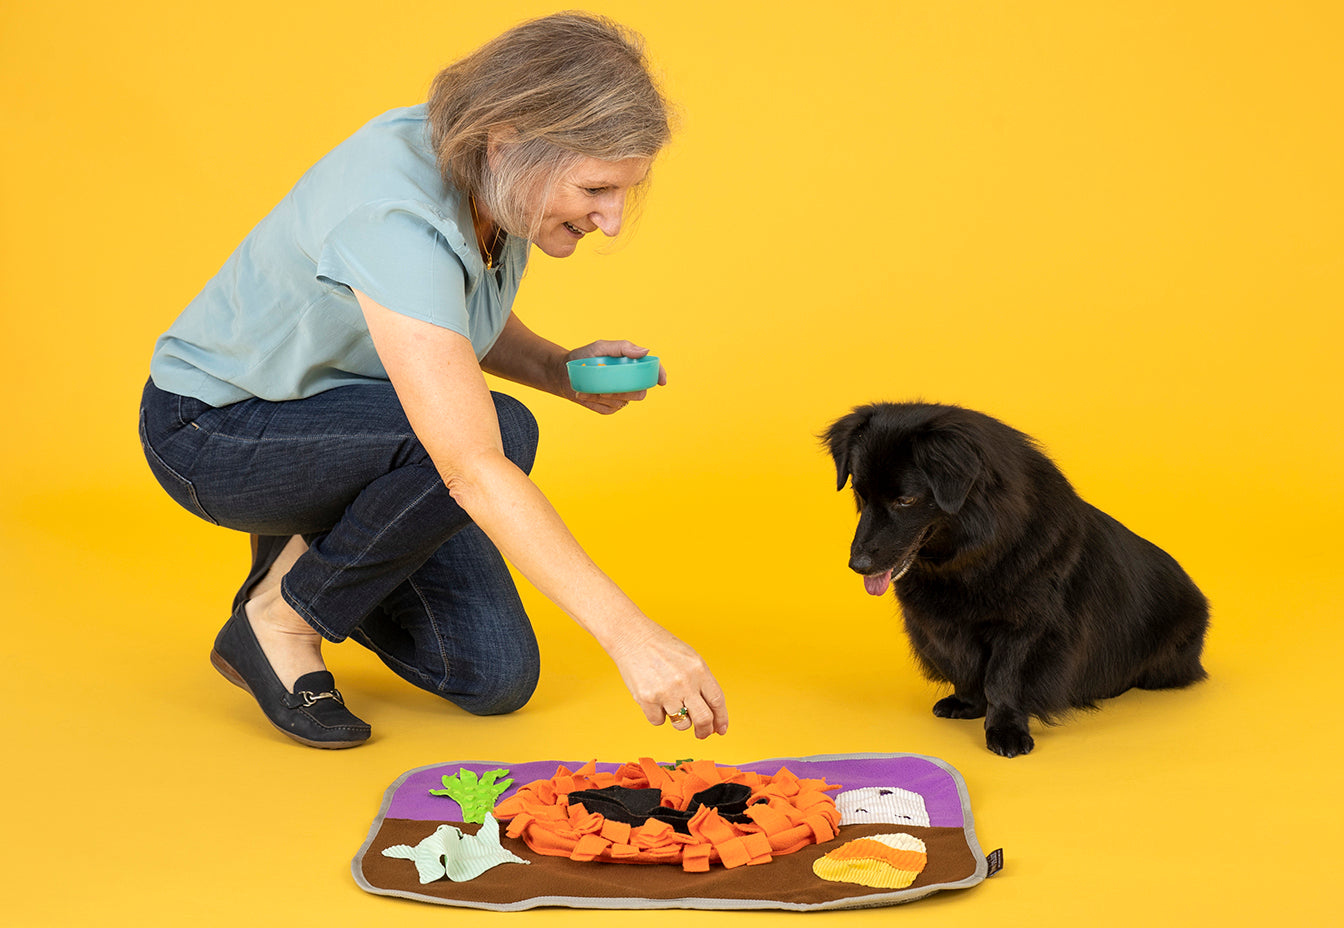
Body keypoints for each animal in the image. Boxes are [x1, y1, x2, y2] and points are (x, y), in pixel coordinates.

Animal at [822, 400, 1214, 753]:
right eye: (859, 492)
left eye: (905, 500)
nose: (858, 564)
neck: (970, 559)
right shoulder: (944, 629)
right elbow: (965, 669)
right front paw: (967, 705)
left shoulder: (1027, 629)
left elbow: (1002, 680)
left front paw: (1006, 730)